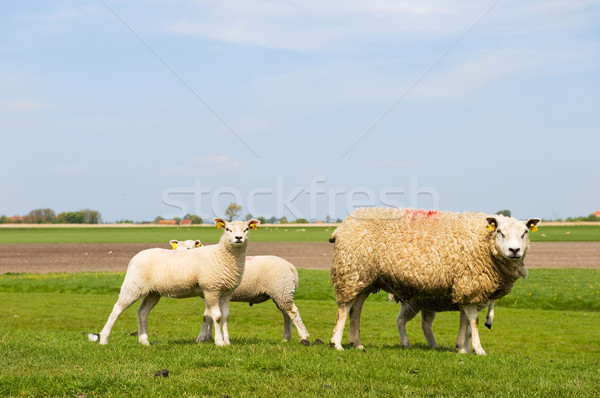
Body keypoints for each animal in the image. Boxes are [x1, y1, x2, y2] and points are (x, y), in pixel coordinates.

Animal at [95, 218, 258, 346]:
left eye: (246, 229)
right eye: (228, 229)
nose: (238, 237)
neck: (222, 255)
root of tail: (135, 257)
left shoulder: (225, 292)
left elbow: (225, 317)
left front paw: (227, 342)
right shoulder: (211, 289)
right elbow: (217, 317)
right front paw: (219, 342)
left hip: (152, 292)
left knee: (142, 311)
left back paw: (144, 341)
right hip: (133, 286)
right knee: (117, 309)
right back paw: (103, 339)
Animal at [170, 239, 310, 346]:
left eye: (189, 248)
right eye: (175, 250)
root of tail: (290, 266)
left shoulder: (210, 292)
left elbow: (207, 317)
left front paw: (202, 338)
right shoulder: (209, 294)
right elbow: (208, 317)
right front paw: (208, 337)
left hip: (281, 290)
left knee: (293, 312)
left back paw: (303, 337)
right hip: (281, 293)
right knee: (287, 314)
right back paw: (286, 338)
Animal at [328, 208, 540, 354]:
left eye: (525, 233)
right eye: (499, 232)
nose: (514, 250)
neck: (482, 241)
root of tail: (343, 225)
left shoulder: (464, 288)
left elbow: (465, 321)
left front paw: (462, 347)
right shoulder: (468, 283)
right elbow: (473, 320)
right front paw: (477, 349)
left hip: (365, 279)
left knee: (356, 309)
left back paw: (357, 343)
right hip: (351, 270)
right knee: (345, 307)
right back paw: (336, 343)